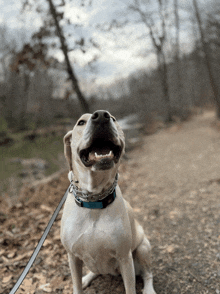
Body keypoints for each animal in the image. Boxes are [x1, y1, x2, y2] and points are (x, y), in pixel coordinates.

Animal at [60, 110, 156, 294]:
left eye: (113, 119)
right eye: (80, 122)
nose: (101, 116)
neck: (94, 200)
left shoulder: (124, 257)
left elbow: (130, 288)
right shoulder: (73, 257)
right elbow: (76, 285)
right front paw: (80, 282)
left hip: (143, 248)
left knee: (147, 273)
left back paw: (149, 289)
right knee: (95, 271)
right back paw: (86, 278)